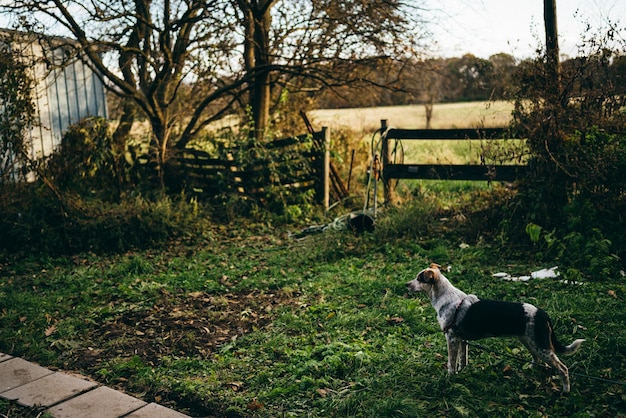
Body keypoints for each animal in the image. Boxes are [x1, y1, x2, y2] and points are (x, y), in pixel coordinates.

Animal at [408, 262, 584, 394]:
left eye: (419, 278)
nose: (406, 284)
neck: (446, 298)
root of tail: (543, 314)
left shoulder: (451, 338)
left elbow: (452, 363)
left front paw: (449, 379)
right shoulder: (462, 340)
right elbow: (462, 360)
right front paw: (461, 373)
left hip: (542, 346)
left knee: (563, 368)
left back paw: (565, 391)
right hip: (529, 342)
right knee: (537, 359)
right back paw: (531, 370)